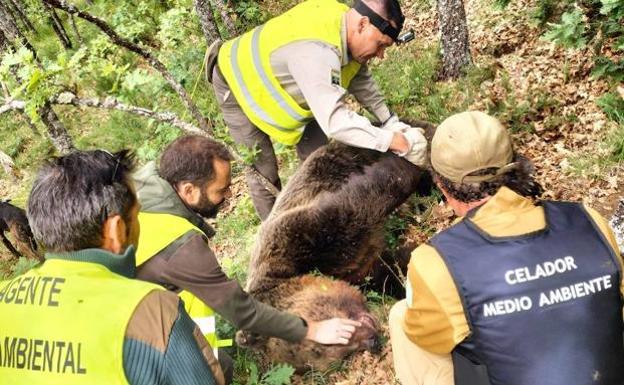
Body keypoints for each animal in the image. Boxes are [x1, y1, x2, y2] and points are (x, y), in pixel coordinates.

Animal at [240, 130, 434, 372]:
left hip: (343, 155)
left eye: (316, 346)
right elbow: (390, 270)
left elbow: (360, 203)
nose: (371, 340)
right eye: (325, 358)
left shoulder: (303, 236)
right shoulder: (358, 267)